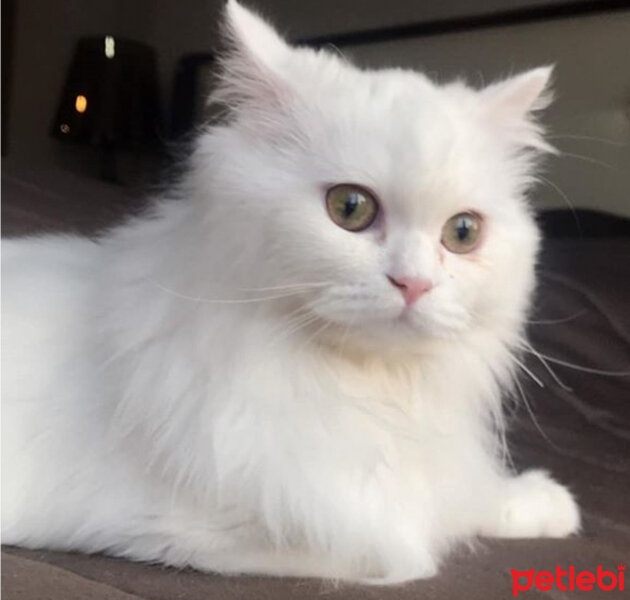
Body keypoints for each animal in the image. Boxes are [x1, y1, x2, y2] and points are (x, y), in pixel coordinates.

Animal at [2, 0, 580, 580]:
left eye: (462, 233)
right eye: (350, 207)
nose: (414, 283)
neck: (363, 387)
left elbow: (460, 493)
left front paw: (546, 506)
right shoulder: (192, 528)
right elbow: (411, 543)